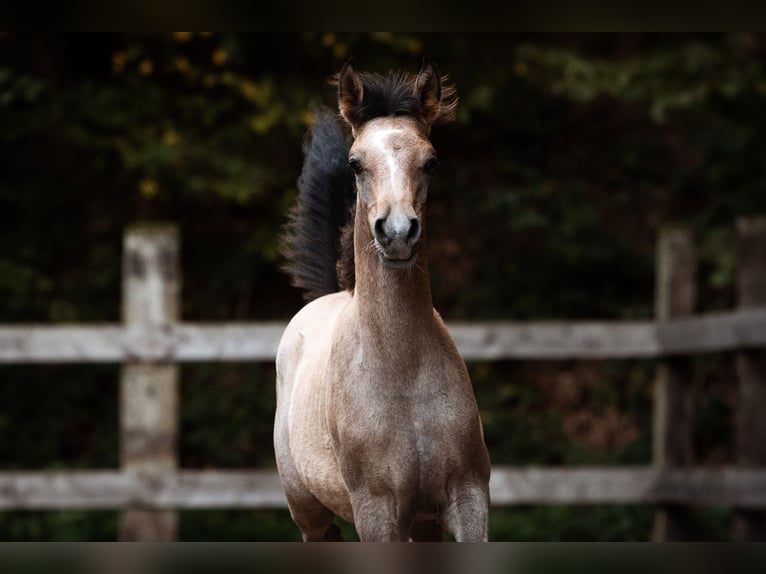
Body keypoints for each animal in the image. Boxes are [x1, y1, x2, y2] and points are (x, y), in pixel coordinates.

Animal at [274, 57, 491, 542]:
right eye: (355, 164)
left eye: (430, 162)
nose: (396, 233)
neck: (401, 371)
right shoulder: (376, 513)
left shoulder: (467, 499)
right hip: (310, 514)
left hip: (425, 524)